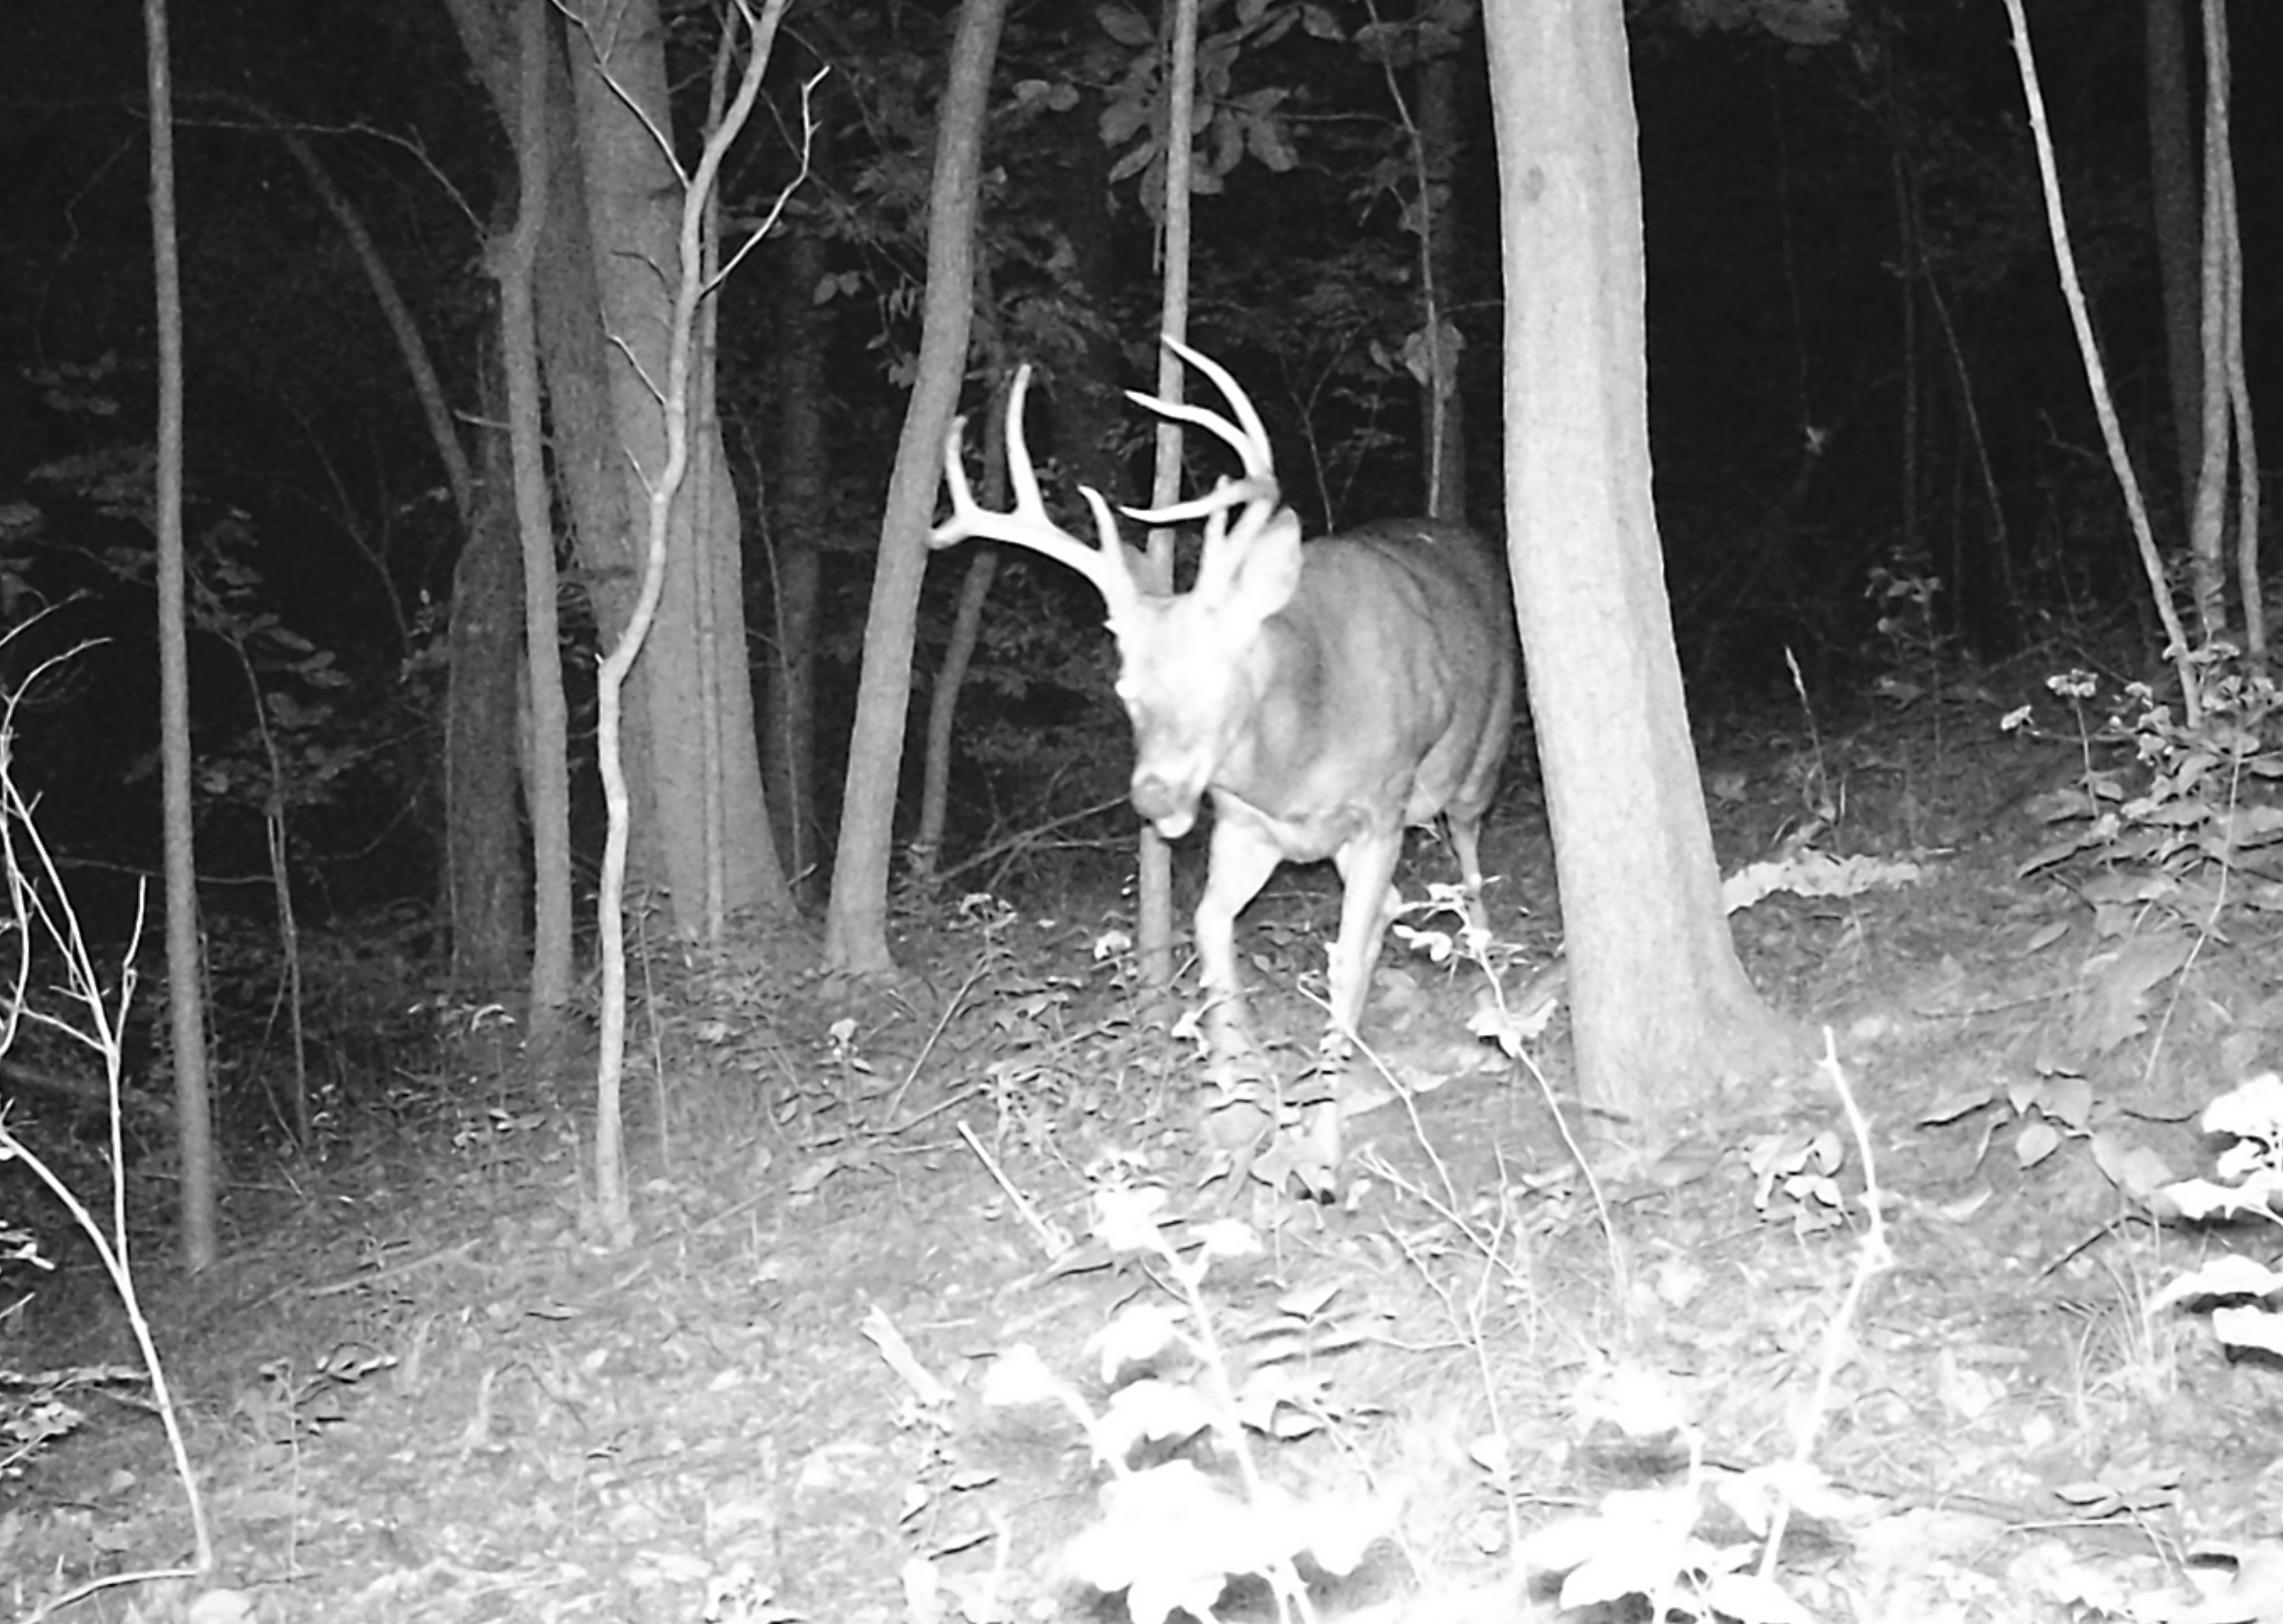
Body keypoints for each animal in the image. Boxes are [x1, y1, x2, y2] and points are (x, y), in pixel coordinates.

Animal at [931, 339, 1516, 1159]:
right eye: (1125, 685)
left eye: (1219, 674)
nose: (1154, 794)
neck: (1298, 755)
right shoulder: (1242, 822)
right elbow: (1211, 929)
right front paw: (1236, 1099)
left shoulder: (1380, 807)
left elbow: (1345, 960)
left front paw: (1321, 1136)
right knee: (1395, 907)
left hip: (1479, 753)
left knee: (1467, 851)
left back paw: (1488, 967)